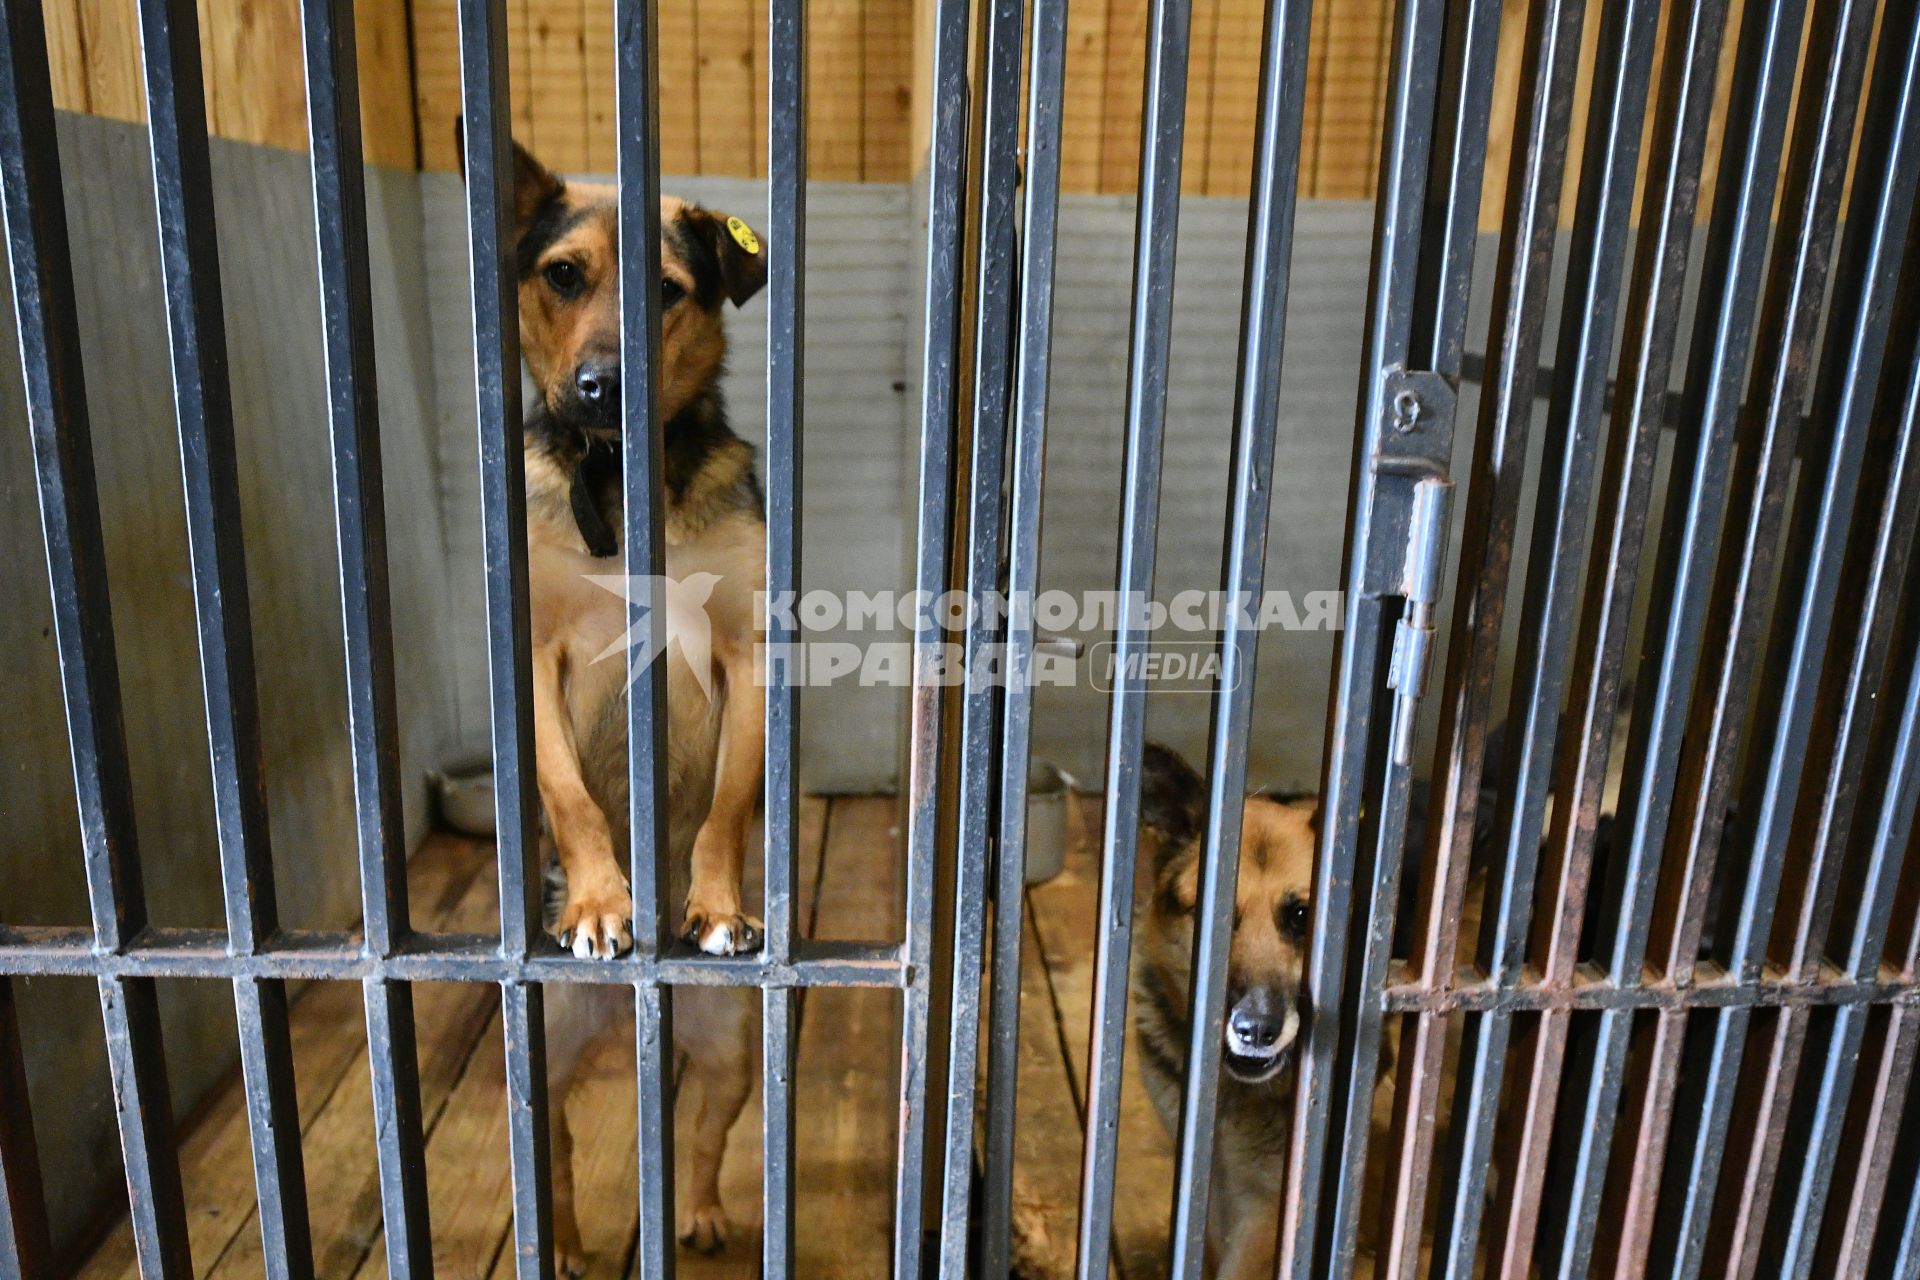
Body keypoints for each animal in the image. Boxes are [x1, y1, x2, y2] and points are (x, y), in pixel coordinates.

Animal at [462, 127, 764, 1274]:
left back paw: (701, 1212)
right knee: (545, 1156)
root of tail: (636, 1022)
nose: (600, 388)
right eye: (561, 275)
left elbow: (726, 807)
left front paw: (713, 903)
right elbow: (570, 793)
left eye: (668, 291)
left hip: (732, 1053)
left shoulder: (747, 654)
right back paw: (565, 1246)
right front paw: (599, 900)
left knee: (698, 1135)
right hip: (535, 1065)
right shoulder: (535, 661)